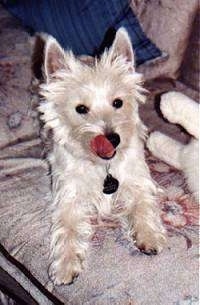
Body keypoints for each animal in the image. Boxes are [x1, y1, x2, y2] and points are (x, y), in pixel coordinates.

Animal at [38, 28, 166, 284]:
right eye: (81, 109)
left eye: (118, 102)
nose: (112, 138)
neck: (104, 167)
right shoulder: (68, 194)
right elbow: (67, 227)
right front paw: (66, 265)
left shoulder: (137, 180)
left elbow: (143, 206)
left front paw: (149, 236)